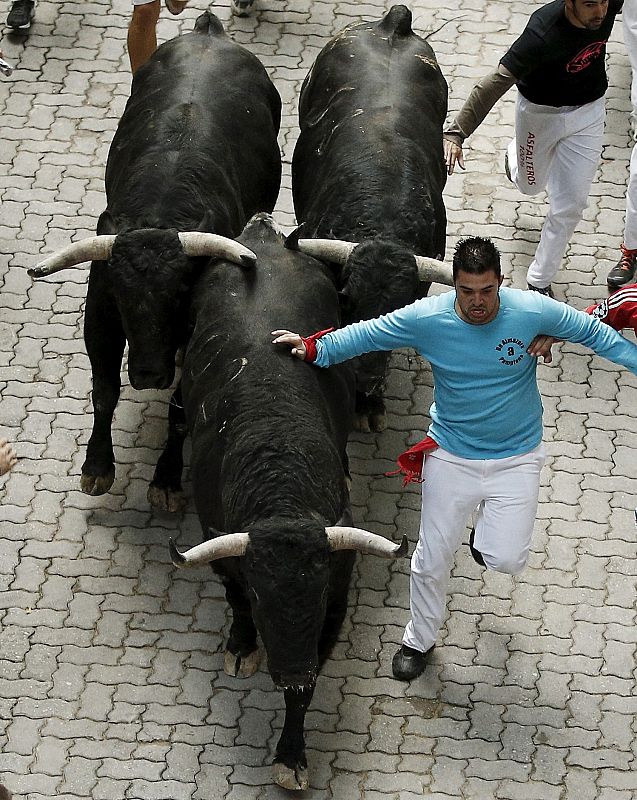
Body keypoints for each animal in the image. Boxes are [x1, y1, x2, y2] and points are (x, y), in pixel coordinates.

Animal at [27, 12, 280, 510]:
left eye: (180, 294)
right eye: (123, 298)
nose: (146, 374)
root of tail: (209, 31)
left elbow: (180, 408)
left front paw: (166, 479)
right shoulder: (100, 314)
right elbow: (104, 392)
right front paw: (97, 467)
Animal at [170, 214, 408, 792]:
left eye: (317, 595)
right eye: (261, 595)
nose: (292, 666)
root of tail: (264, 234)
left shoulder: (335, 603)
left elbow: (307, 689)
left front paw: (291, 755)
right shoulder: (224, 555)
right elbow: (234, 600)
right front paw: (241, 645)